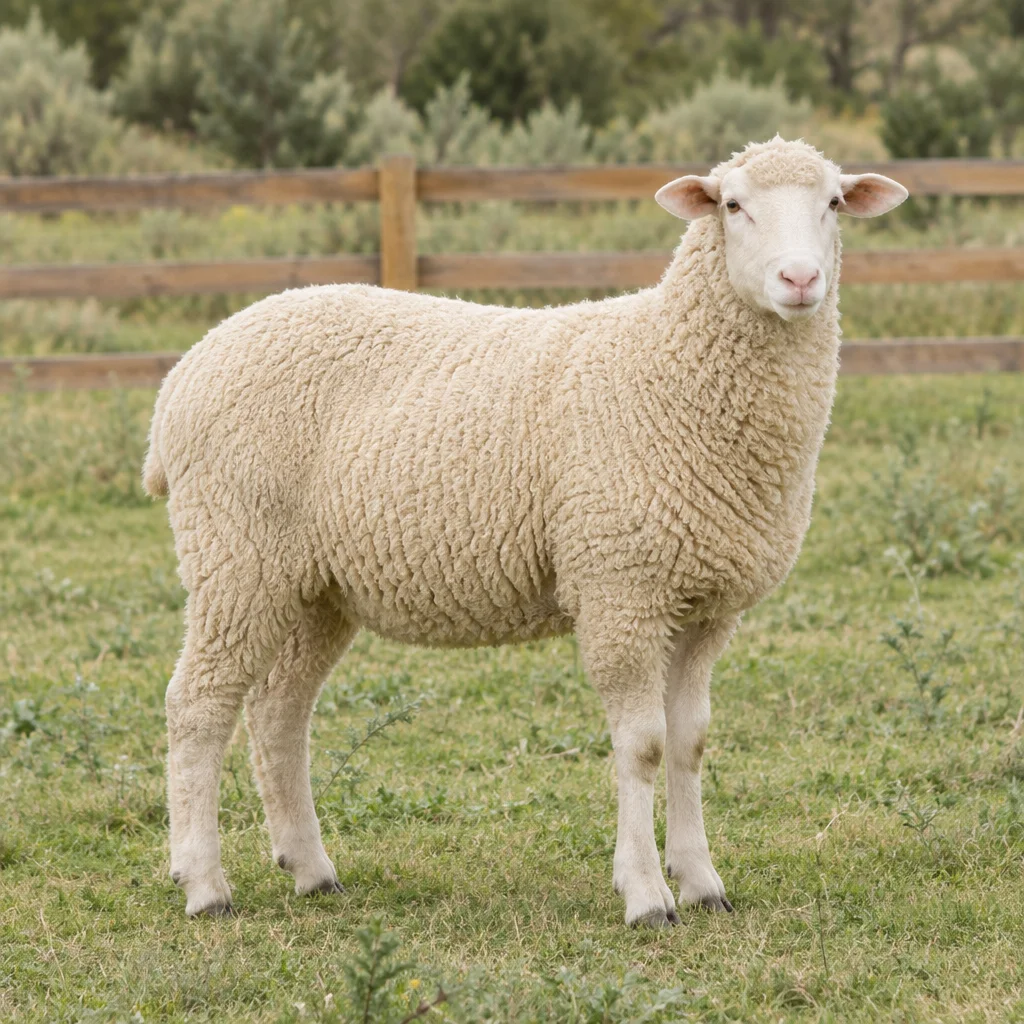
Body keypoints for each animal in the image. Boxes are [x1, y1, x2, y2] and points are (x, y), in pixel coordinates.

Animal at [144, 137, 907, 926]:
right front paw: (646, 894)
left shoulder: (704, 604)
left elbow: (689, 743)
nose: (800, 279)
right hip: (235, 554)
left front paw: (701, 881)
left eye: (834, 203)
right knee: (197, 706)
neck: (667, 367)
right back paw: (203, 883)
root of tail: (183, 374)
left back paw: (311, 868)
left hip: (313, 585)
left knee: (278, 712)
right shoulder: (620, 587)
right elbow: (642, 747)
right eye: (732, 205)